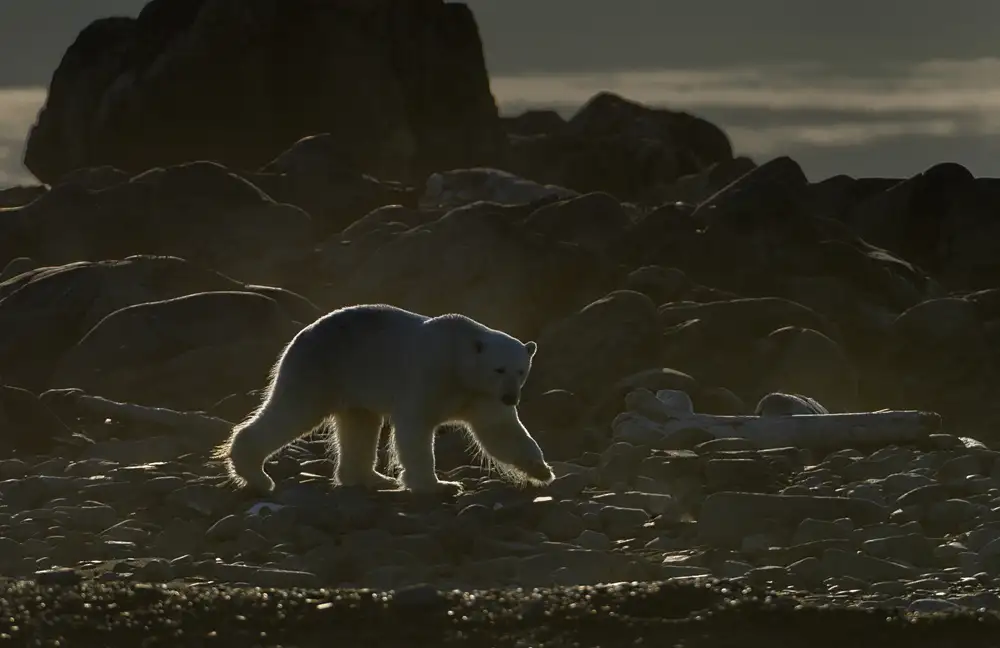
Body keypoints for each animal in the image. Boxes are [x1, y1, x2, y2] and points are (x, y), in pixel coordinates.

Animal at [211, 303, 555, 494]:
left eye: (521, 371)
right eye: (499, 369)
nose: (511, 397)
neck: (459, 362)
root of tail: (302, 334)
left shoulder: (481, 395)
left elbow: (500, 431)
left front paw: (542, 470)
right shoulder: (429, 374)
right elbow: (414, 428)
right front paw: (439, 486)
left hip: (353, 384)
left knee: (360, 425)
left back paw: (372, 478)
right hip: (322, 368)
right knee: (294, 411)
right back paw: (257, 476)